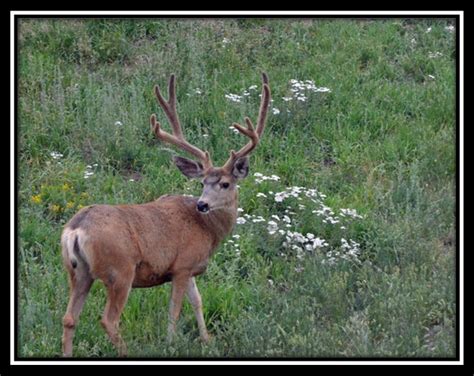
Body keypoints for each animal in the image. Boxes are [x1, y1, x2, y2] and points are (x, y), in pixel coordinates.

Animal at [61, 72, 270, 356]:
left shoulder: (190, 268)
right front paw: (171, 344)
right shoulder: (182, 265)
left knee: (69, 318)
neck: (208, 231)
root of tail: (75, 229)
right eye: (203, 183)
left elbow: (198, 301)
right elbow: (175, 310)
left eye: (224, 184)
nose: (202, 205)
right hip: (120, 270)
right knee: (108, 320)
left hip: (77, 272)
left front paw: (207, 340)